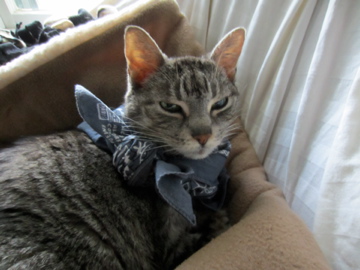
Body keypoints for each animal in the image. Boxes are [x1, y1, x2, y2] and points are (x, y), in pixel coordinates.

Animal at [0, 24, 245, 268]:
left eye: (220, 103)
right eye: (170, 107)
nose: (203, 135)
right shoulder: (171, 251)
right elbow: (212, 228)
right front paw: (218, 219)